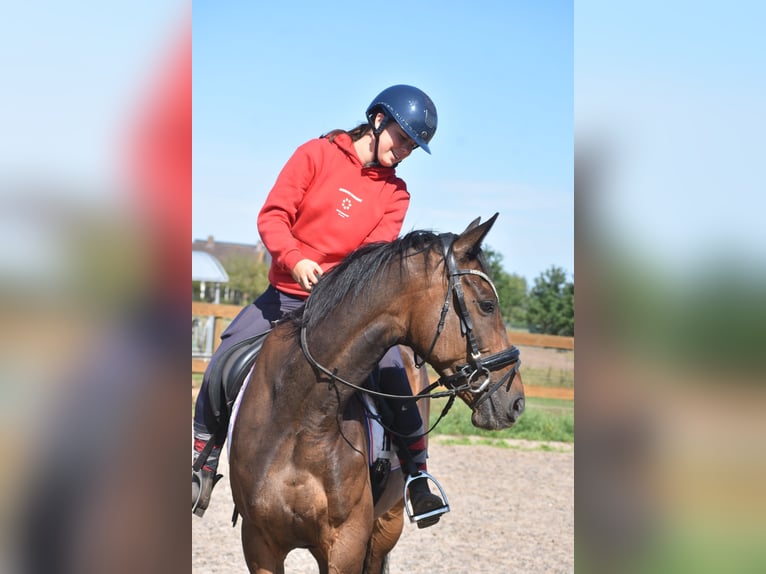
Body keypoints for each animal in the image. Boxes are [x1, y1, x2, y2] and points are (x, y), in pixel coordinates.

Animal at [229, 214, 525, 573]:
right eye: (487, 305)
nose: (516, 401)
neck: (302, 417)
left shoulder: (347, 543)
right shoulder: (260, 545)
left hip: (388, 522)